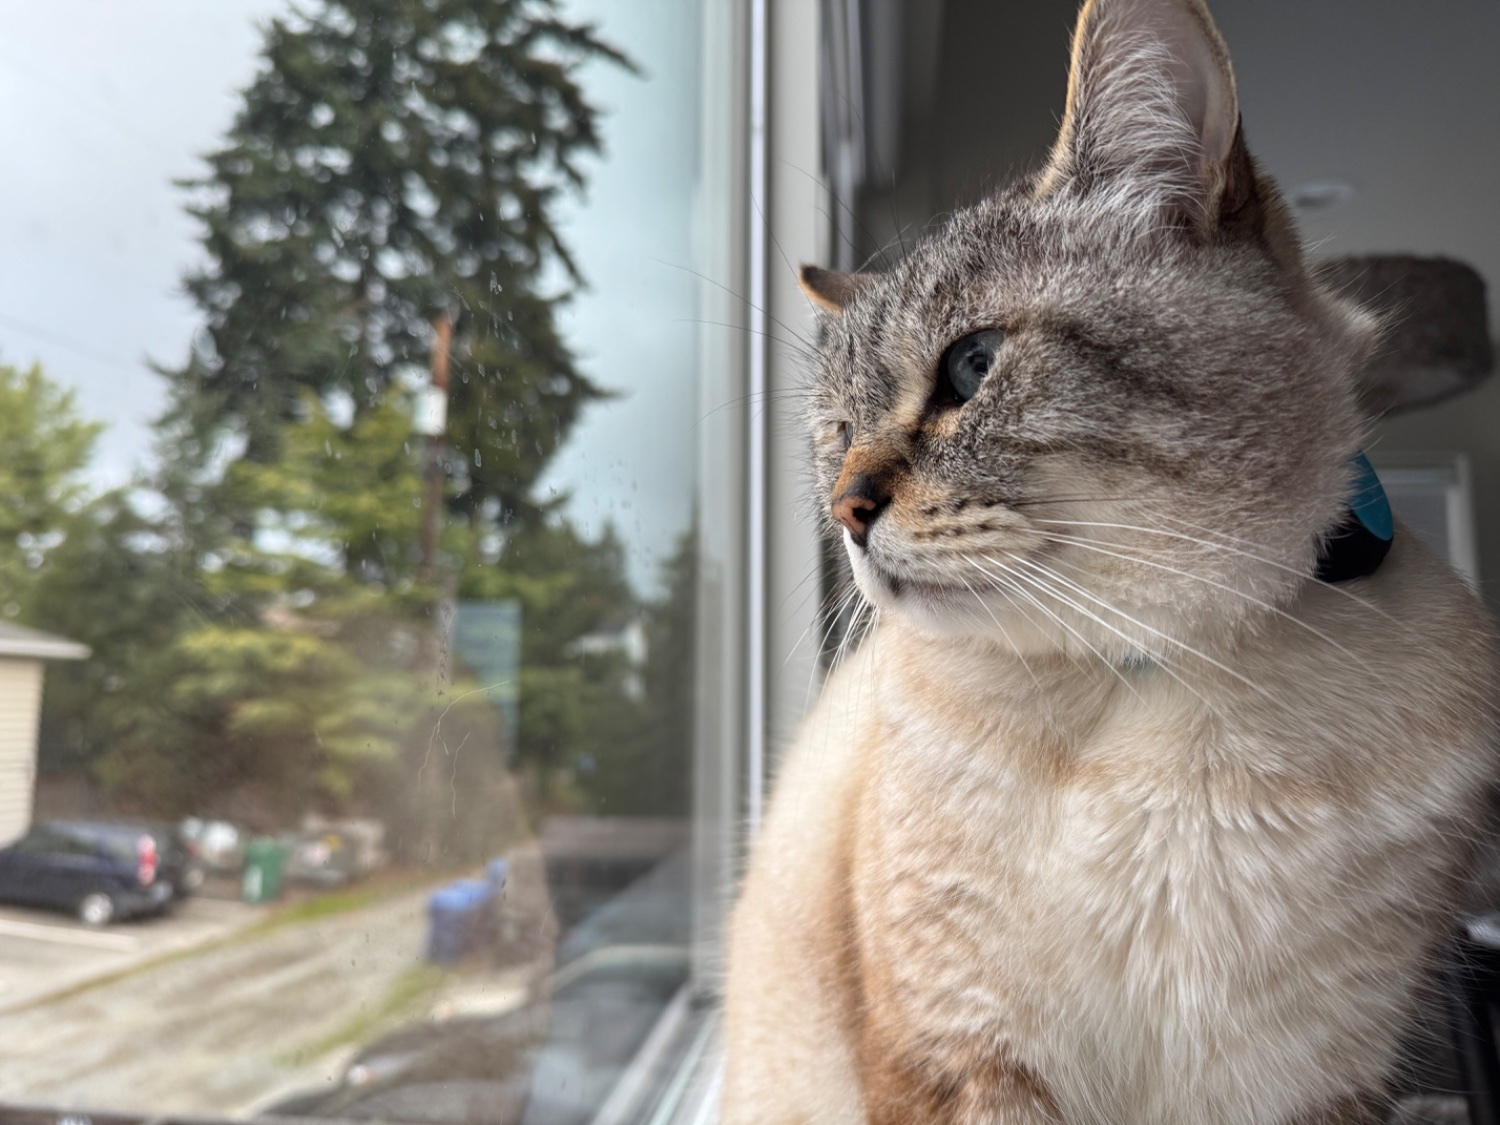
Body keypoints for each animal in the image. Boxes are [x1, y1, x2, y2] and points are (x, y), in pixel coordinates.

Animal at [714, 2, 1500, 1125]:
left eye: (971, 367)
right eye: (838, 430)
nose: (844, 512)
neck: (1140, 672)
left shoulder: (1300, 1083)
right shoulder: (964, 1058)